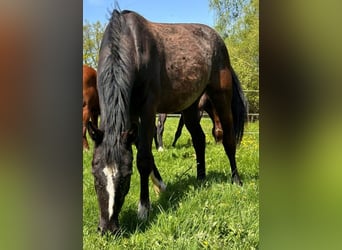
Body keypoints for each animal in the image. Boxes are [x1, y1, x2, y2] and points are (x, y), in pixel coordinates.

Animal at [87, 9, 248, 234]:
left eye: (127, 177)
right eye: (95, 175)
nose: (108, 228)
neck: (132, 43)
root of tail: (216, 39)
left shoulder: (147, 110)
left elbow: (143, 158)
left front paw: (144, 209)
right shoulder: (130, 113)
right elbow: (141, 148)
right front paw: (160, 185)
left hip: (221, 97)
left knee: (228, 140)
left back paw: (236, 180)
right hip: (191, 107)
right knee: (199, 139)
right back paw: (201, 179)